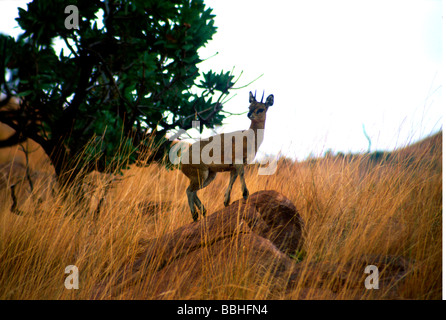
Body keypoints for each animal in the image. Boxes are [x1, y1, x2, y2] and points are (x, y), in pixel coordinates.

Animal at [179, 90, 274, 220]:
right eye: (249, 107)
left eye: (261, 109)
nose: (249, 114)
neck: (248, 138)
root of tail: (181, 161)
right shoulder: (238, 162)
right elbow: (241, 175)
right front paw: (245, 194)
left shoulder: (233, 167)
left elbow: (232, 180)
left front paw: (226, 201)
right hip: (201, 175)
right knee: (189, 191)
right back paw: (195, 215)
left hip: (210, 176)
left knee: (193, 191)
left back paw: (203, 211)